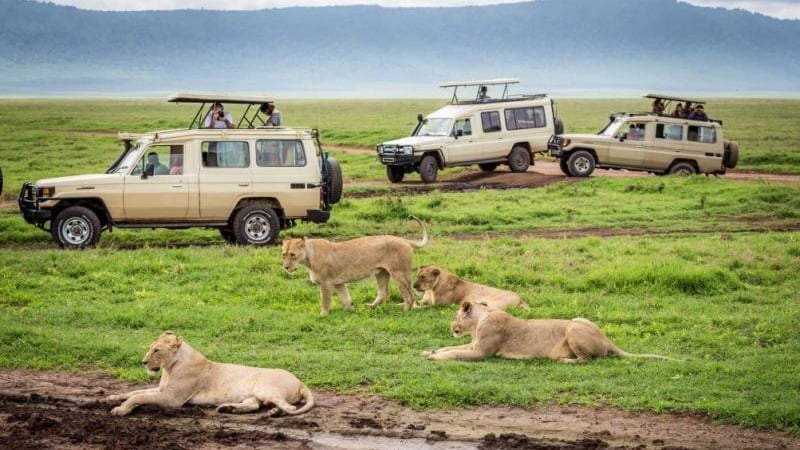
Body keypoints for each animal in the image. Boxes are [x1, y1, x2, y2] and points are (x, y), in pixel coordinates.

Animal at [108, 331, 314, 416]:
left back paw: (274, 412)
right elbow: (134, 392)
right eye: (150, 348)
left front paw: (120, 409)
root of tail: (300, 381)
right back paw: (228, 409)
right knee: (254, 405)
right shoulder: (162, 390)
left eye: (157, 350)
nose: (143, 362)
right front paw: (112, 398)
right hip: (253, 395)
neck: (169, 369)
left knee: (290, 407)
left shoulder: (172, 399)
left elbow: (139, 397)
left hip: (265, 389)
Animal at [282, 216, 428, 315]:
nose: (286, 267)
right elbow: (346, 298)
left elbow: (325, 300)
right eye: (284, 254)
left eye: (293, 255)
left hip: (399, 273)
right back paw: (370, 307)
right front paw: (351, 310)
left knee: (409, 295)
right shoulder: (338, 283)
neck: (308, 257)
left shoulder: (326, 283)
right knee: (384, 292)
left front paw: (323, 315)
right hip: (381, 272)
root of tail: (404, 239)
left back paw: (405, 311)